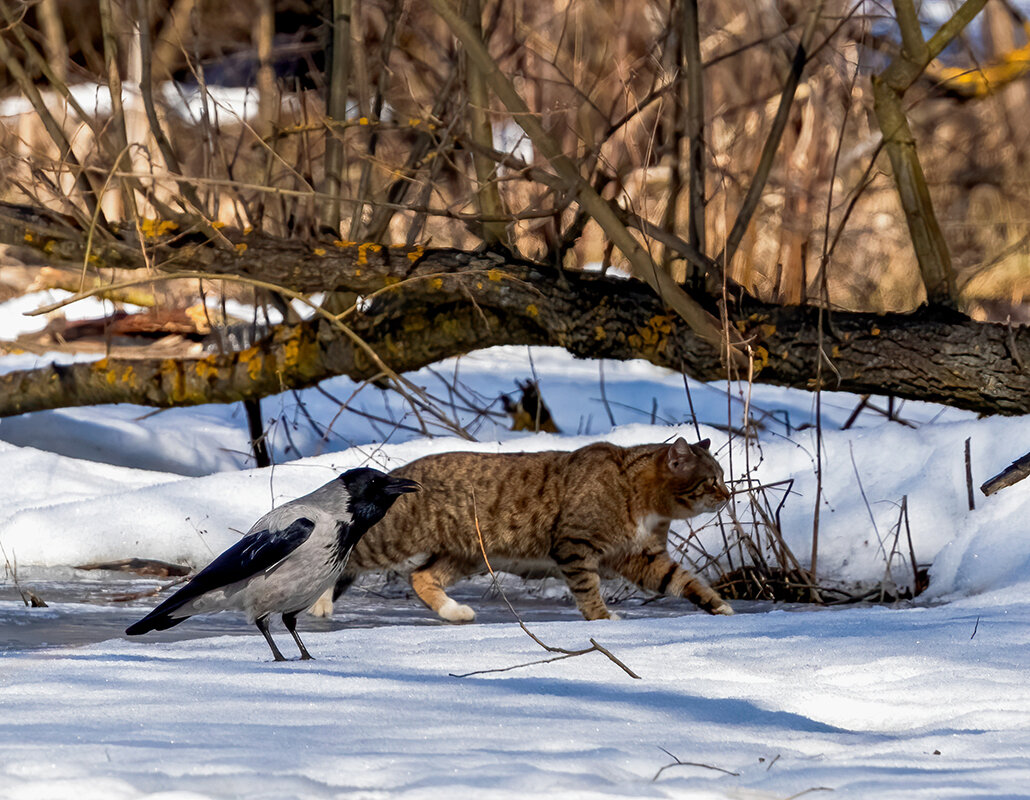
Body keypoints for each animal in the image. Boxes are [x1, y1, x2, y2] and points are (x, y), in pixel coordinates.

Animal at [309, 436, 737, 617]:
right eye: (711, 481)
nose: (729, 494)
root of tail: (397, 474)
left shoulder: (641, 555)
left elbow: (681, 579)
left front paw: (716, 605)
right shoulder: (575, 544)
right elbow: (587, 587)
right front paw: (602, 618)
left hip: (467, 554)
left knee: (421, 577)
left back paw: (454, 612)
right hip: (394, 536)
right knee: (347, 554)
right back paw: (319, 602)